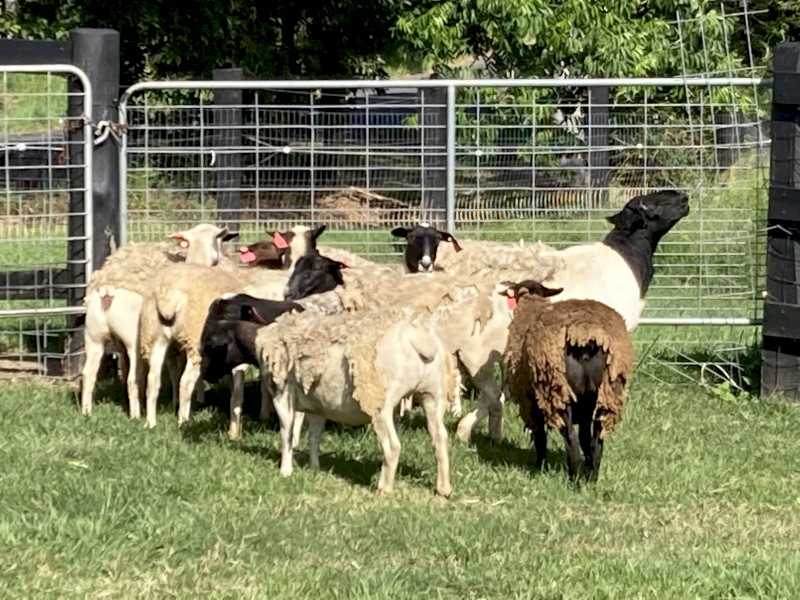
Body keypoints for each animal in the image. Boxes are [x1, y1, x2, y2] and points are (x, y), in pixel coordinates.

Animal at [79, 223, 238, 419]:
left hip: (94, 336)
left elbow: (173, 369)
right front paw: (188, 401)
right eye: (220, 238)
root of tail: (108, 289)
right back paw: (137, 414)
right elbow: (183, 371)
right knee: (134, 378)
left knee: (89, 373)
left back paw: (87, 412)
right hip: (135, 340)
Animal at [255, 307, 456, 496]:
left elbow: (287, 434)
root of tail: (419, 338)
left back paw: (384, 488)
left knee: (392, 446)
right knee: (440, 438)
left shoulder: (282, 394)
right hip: (433, 394)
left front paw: (285, 471)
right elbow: (314, 436)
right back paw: (443, 488)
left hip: (380, 401)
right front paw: (314, 468)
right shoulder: (318, 406)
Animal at [501, 279, 634, 483]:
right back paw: (592, 478)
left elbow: (540, 438)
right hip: (606, 395)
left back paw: (574, 480)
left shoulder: (531, 403)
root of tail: (584, 336)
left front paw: (540, 468)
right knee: (595, 441)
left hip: (557, 394)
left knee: (571, 440)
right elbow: (585, 439)